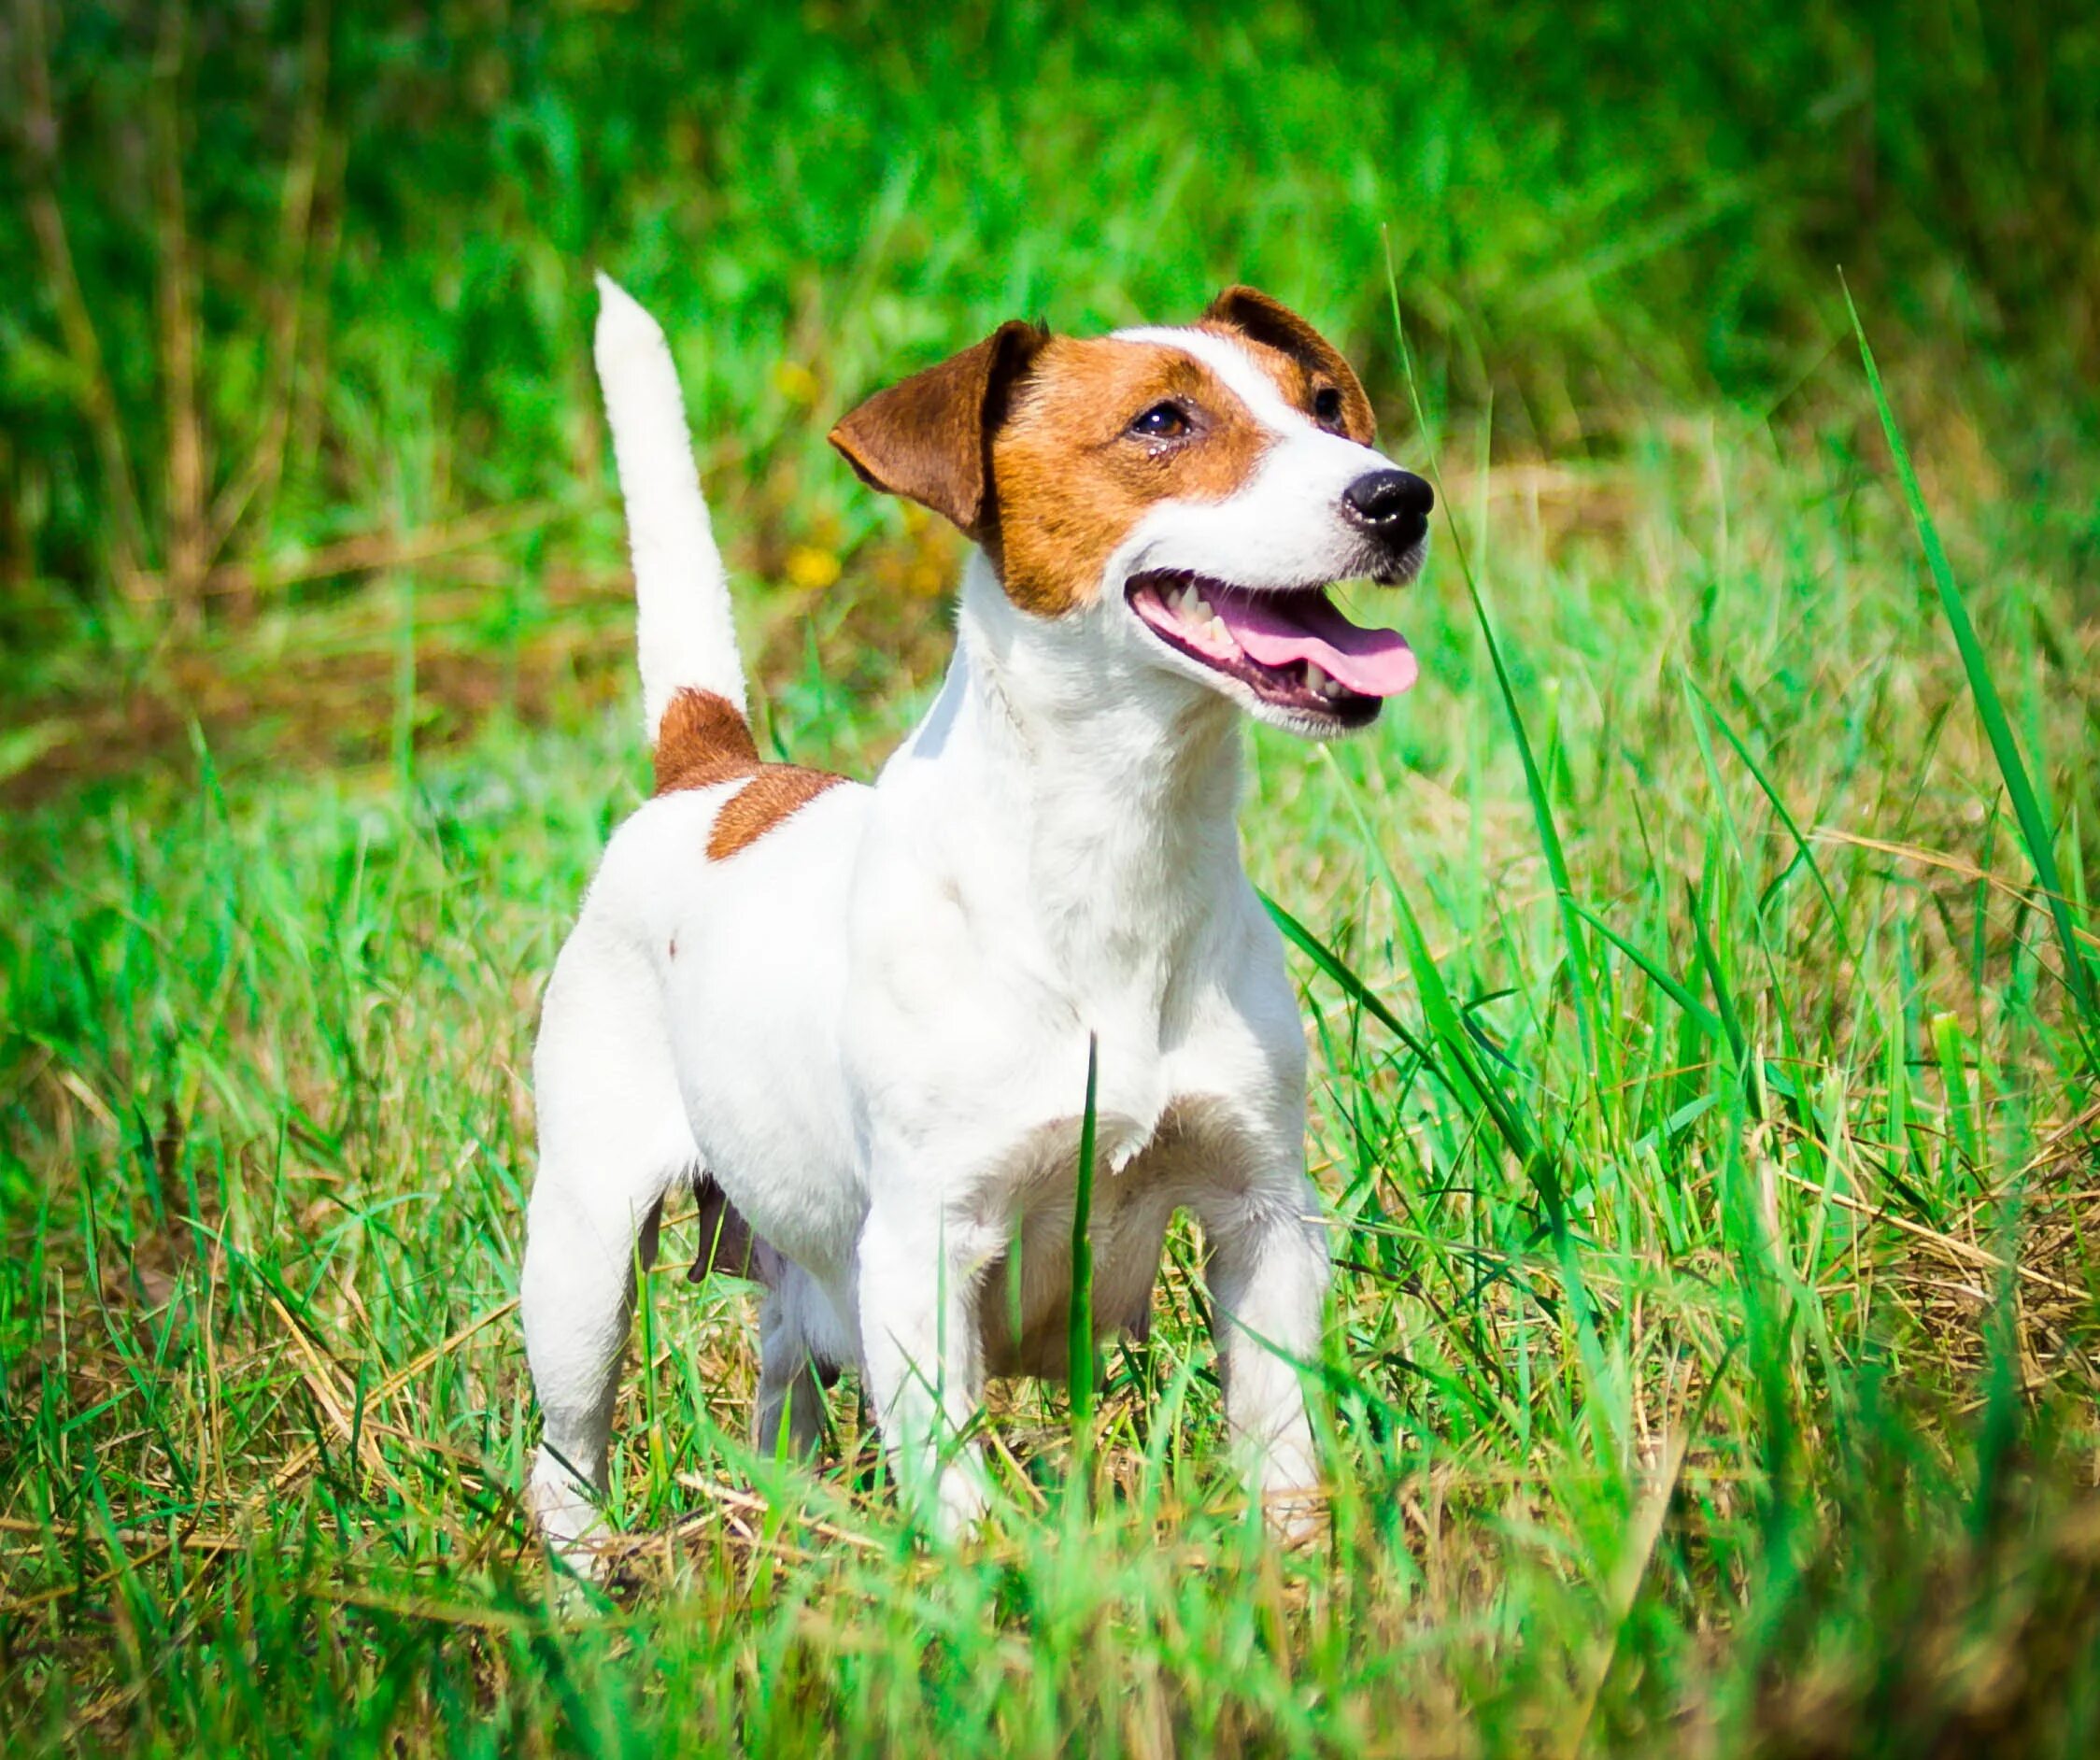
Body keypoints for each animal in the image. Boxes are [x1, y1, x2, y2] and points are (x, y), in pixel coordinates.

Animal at [525, 275, 1436, 1554]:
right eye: (1162, 422)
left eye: (1322, 406)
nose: (1398, 496)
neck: (1120, 850)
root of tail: (711, 773)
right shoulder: (925, 1247)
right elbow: (954, 1485)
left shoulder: (1264, 1211)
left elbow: (1280, 1438)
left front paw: (1298, 1564)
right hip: (579, 1253)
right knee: (562, 1454)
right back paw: (586, 1569)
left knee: (782, 1374)